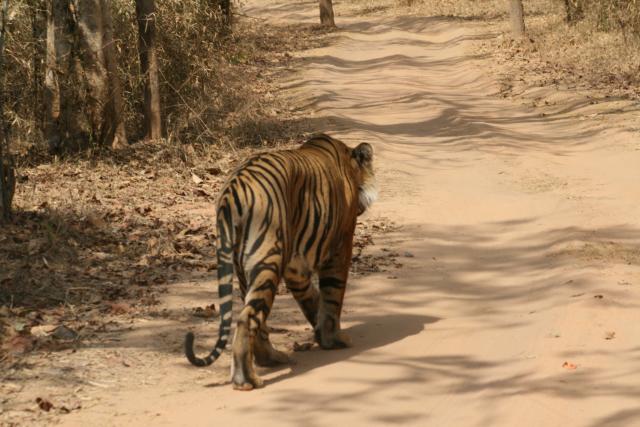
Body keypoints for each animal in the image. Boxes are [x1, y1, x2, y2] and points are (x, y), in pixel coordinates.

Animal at [185, 133, 377, 390]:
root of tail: (232, 189)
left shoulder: (296, 267)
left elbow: (312, 299)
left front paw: (320, 334)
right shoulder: (341, 246)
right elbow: (332, 296)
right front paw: (334, 338)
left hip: (245, 266)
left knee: (256, 319)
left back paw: (271, 359)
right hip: (268, 260)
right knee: (247, 318)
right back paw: (247, 380)